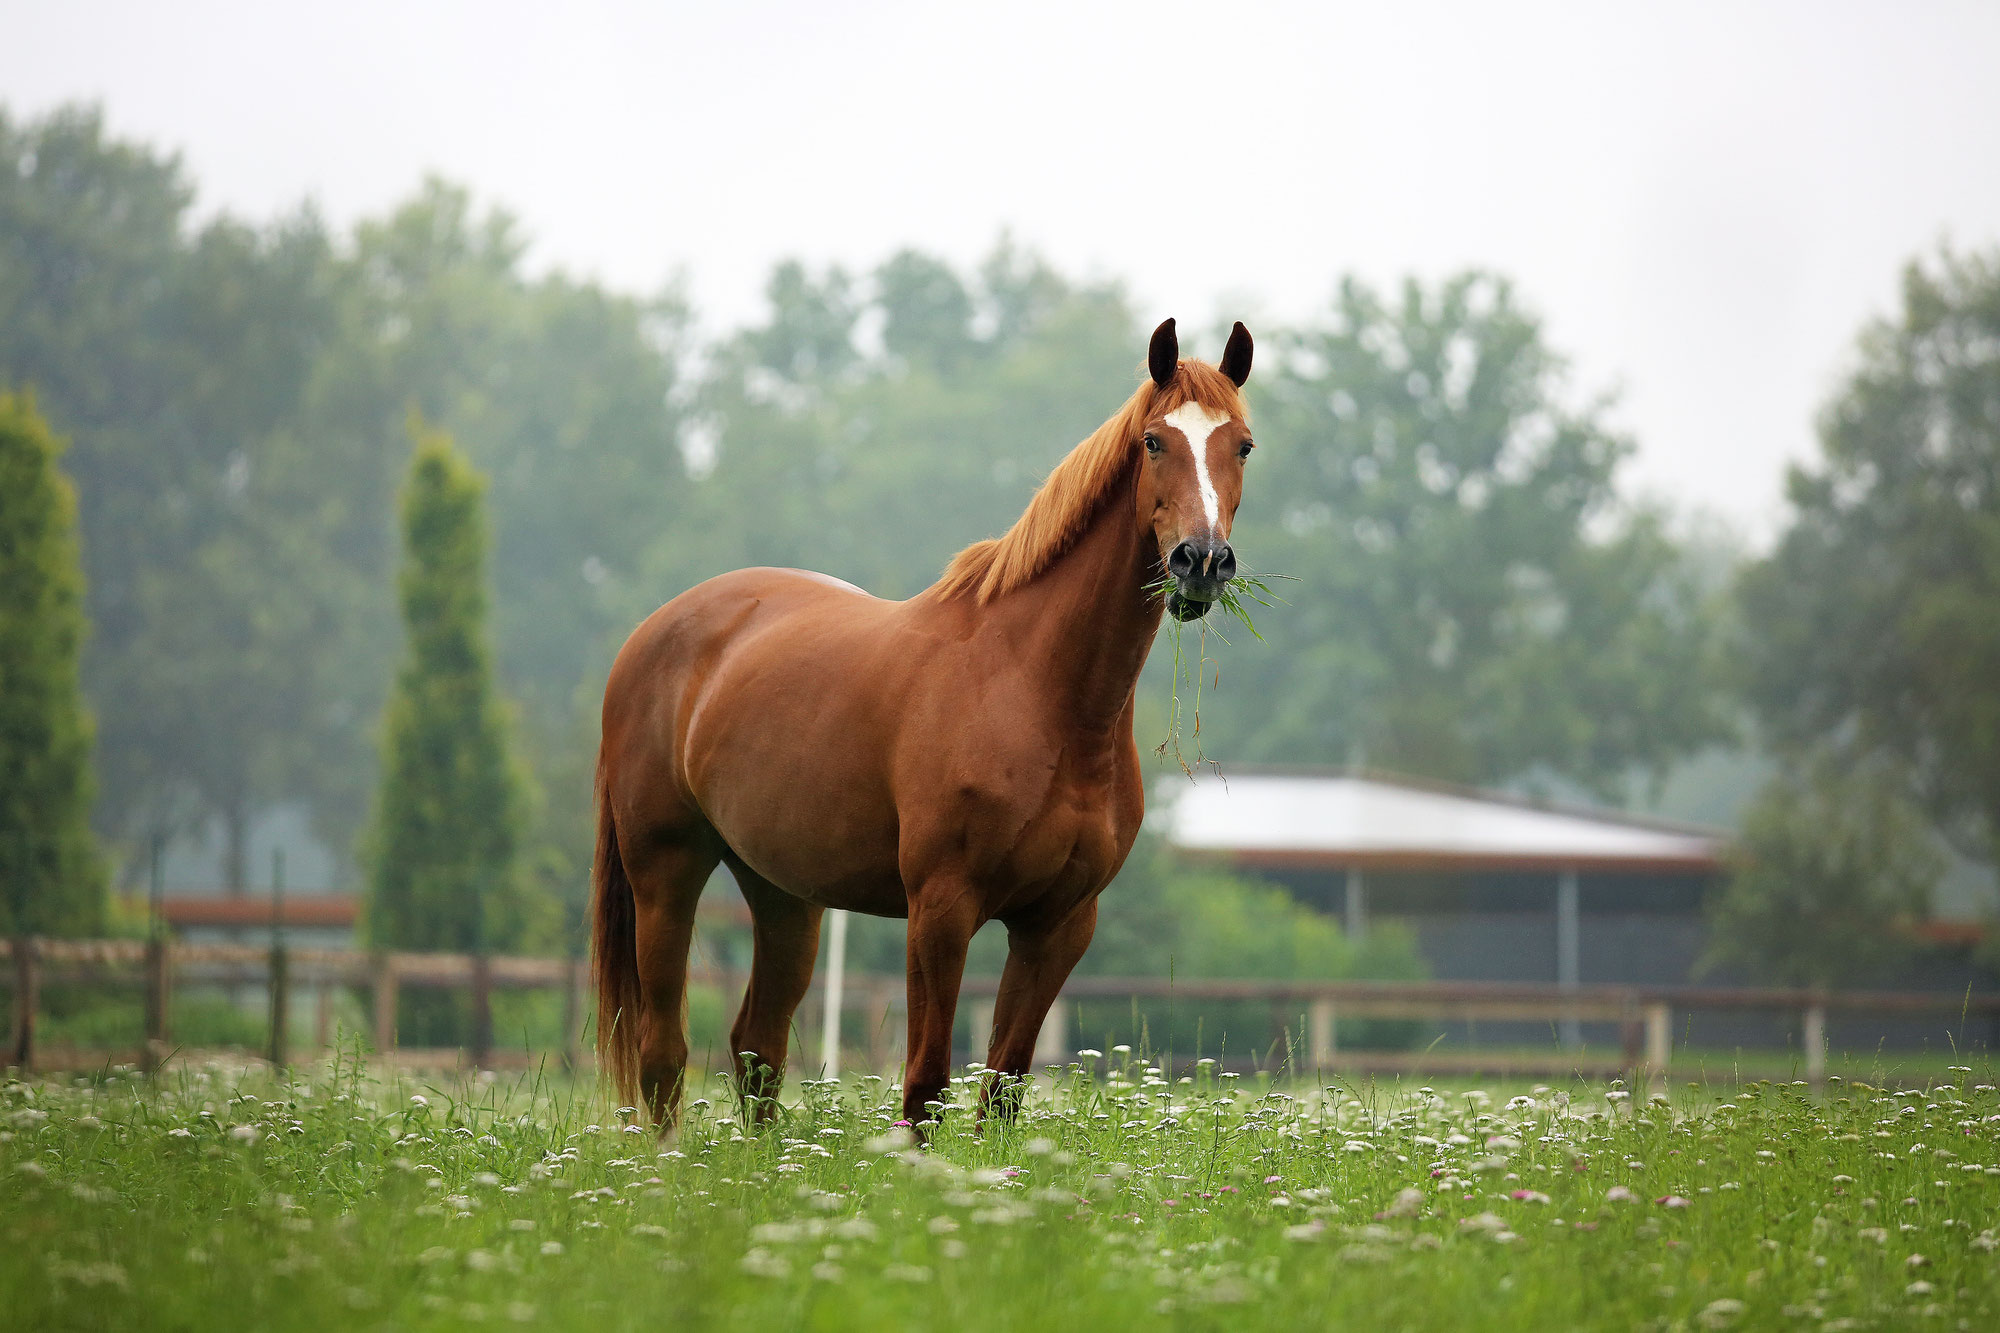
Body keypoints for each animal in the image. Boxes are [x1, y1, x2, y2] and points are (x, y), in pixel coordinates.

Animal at [584, 320, 1256, 1120]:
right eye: (1155, 440)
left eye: (1243, 445)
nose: (1201, 562)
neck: (1037, 691)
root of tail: (651, 633)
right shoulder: (940, 910)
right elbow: (925, 1085)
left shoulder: (1058, 925)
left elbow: (1002, 1091)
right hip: (666, 871)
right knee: (662, 1054)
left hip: (783, 892)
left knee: (758, 1049)